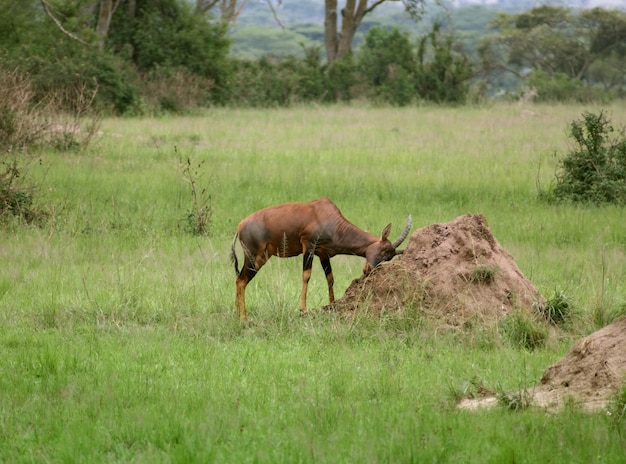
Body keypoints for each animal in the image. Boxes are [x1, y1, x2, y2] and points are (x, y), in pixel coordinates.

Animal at [229, 198, 410, 320]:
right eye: (383, 250)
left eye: (388, 257)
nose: (368, 269)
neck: (325, 215)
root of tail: (240, 225)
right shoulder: (308, 246)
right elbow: (306, 275)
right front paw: (303, 309)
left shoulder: (323, 254)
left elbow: (330, 278)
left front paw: (332, 304)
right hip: (254, 257)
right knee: (241, 280)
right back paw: (243, 318)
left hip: (261, 258)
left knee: (239, 280)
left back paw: (236, 315)